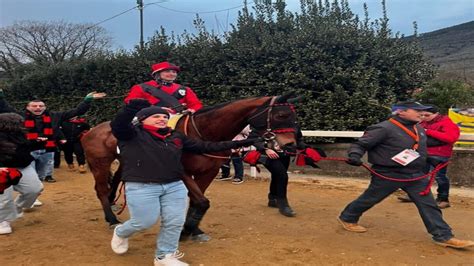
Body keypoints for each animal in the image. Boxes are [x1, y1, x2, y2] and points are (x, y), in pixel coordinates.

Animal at [80, 94, 298, 240]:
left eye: (292, 115)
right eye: (281, 115)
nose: (290, 145)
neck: (203, 132)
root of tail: (92, 130)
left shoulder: (208, 173)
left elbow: (197, 201)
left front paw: (194, 228)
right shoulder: (181, 172)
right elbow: (201, 201)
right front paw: (186, 230)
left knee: (114, 182)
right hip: (100, 163)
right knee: (101, 189)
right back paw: (111, 219)